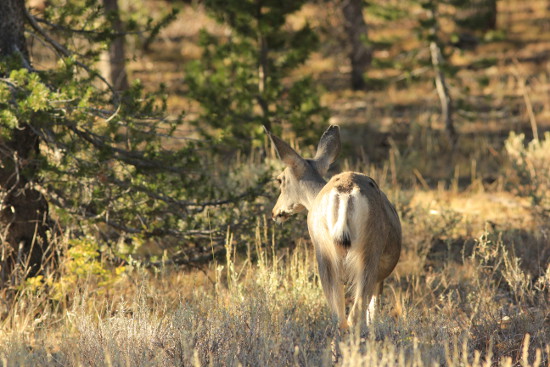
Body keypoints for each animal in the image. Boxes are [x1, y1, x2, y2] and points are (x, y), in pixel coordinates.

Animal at [266, 126, 404, 330]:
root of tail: (345, 192)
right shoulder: (380, 278)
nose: (275, 212)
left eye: (280, 180)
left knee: (339, 316)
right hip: (368, 251)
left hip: (325, 251)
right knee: (353, 313)